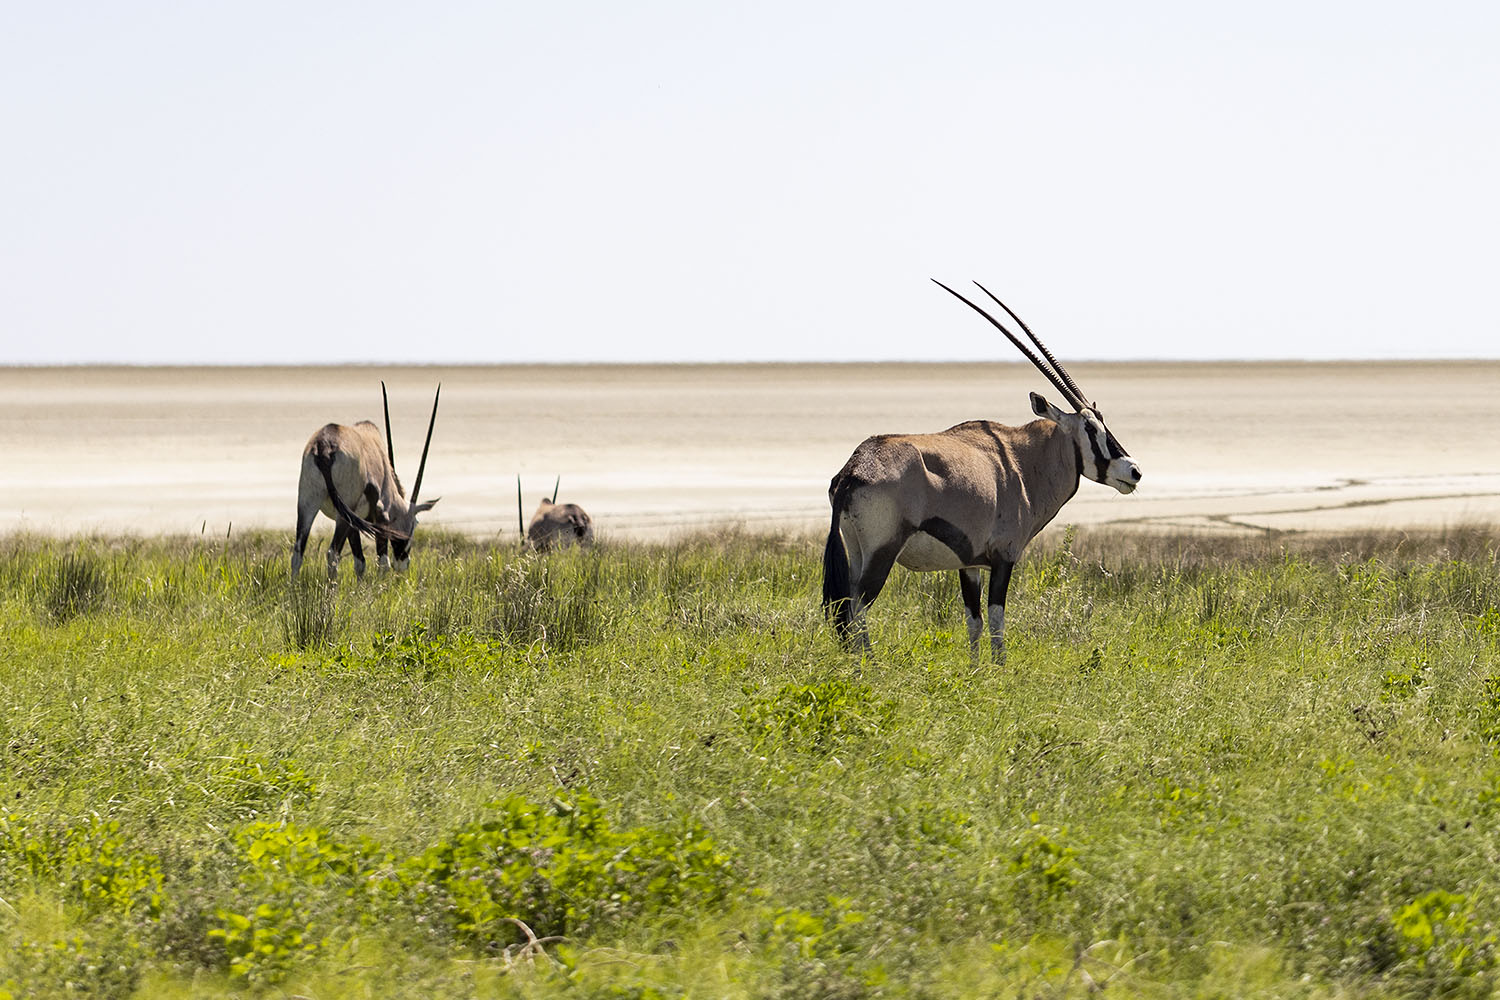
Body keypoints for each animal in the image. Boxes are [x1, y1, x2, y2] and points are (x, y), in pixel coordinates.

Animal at [292, 386, 441, 581]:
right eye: (415, 523)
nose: (403, 563)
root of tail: (324, 446)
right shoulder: (380, 516)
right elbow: (382, 562)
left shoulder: (355, 522)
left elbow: (360, 562)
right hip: (344, 511)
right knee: (333, 553)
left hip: (308, 503)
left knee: (298, 551)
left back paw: (293, 587)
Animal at [828, 281, 1140, 659]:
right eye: (1090, 429)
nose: (1134, 470)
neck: (1022, 462)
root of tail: (853, 469)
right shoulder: (1004, 558)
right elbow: (996, 621)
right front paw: (1000, 667)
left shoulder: (971, 563)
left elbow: (973, 622)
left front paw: (976, 669)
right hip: (881, 552)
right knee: (857, 607)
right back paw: (868, 665)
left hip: (856, 550)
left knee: (846, 607)